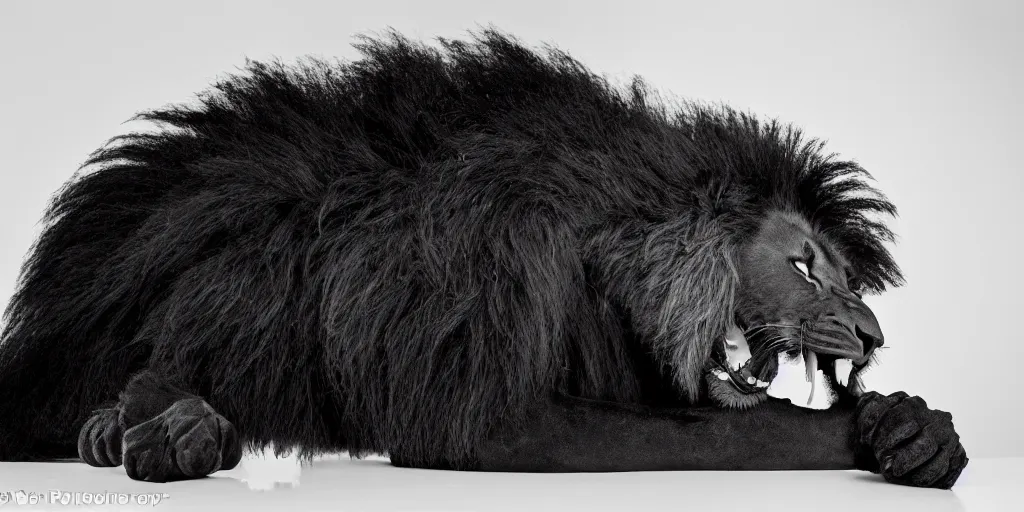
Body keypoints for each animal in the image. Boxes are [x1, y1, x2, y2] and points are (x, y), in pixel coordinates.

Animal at [0, 29, 966, 487]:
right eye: (802, 266)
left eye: (845, 276)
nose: (873, 335)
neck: (607, 248)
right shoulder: (486, 328)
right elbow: (748, 428)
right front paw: (874, 431)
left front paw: (911, 427)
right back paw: (161, 427)